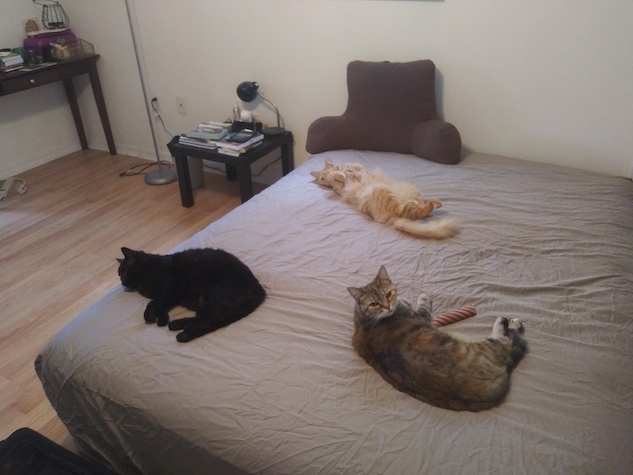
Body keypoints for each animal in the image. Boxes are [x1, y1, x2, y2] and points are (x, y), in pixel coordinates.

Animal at [117, 249, 266, 342]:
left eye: (124, 271)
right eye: (120, 275)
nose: (122, 282)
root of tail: (259, 288)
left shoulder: (171, 289)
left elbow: (157, 304)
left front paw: (162, 319)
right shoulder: (163, 296)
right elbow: (151, 304)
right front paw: (149, 316)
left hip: (214, 293)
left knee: (211, 319)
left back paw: (184, 334)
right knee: (206, 317)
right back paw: (178, 324)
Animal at [310, 160, 454, 240]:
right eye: (322, 179)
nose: (325, 181)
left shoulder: (359, 168)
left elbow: (352, 170)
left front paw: (345, 172)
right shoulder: (340, 188)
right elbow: (338, 176)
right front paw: (340, 175)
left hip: (410, 189)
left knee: (418, 212)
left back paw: (432, 203)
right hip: (380, 190)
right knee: (406, 212)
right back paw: (419, 204)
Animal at [348, 266, 524, 410]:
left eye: (388, 294)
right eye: (374, 304)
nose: (387, 306)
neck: (366, 320)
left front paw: (403, 299)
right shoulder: (422, 316)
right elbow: (423, 305)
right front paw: (420, 297)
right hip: (488, 347)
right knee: (506, 342)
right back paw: (508, 322)